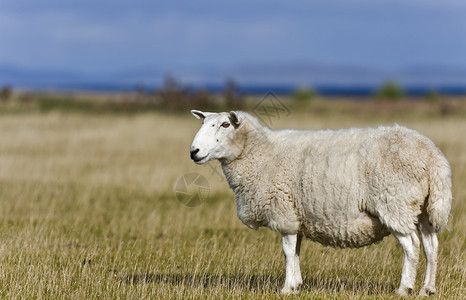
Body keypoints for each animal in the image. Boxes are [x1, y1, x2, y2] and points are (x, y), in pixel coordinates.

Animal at [188, 109, 452, 296]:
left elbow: (287, 252)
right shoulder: (297, 217)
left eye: (225, 125)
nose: (194, 152)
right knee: (431, 246)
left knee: (412, 246)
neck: (259, 153)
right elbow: (295, 251)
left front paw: (286, 288)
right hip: (422, 209)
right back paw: (427, 289)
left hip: (395, 204)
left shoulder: (284, 212)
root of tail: (432, 156)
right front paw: (296, 285)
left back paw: (404, 288)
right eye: (203, 123)